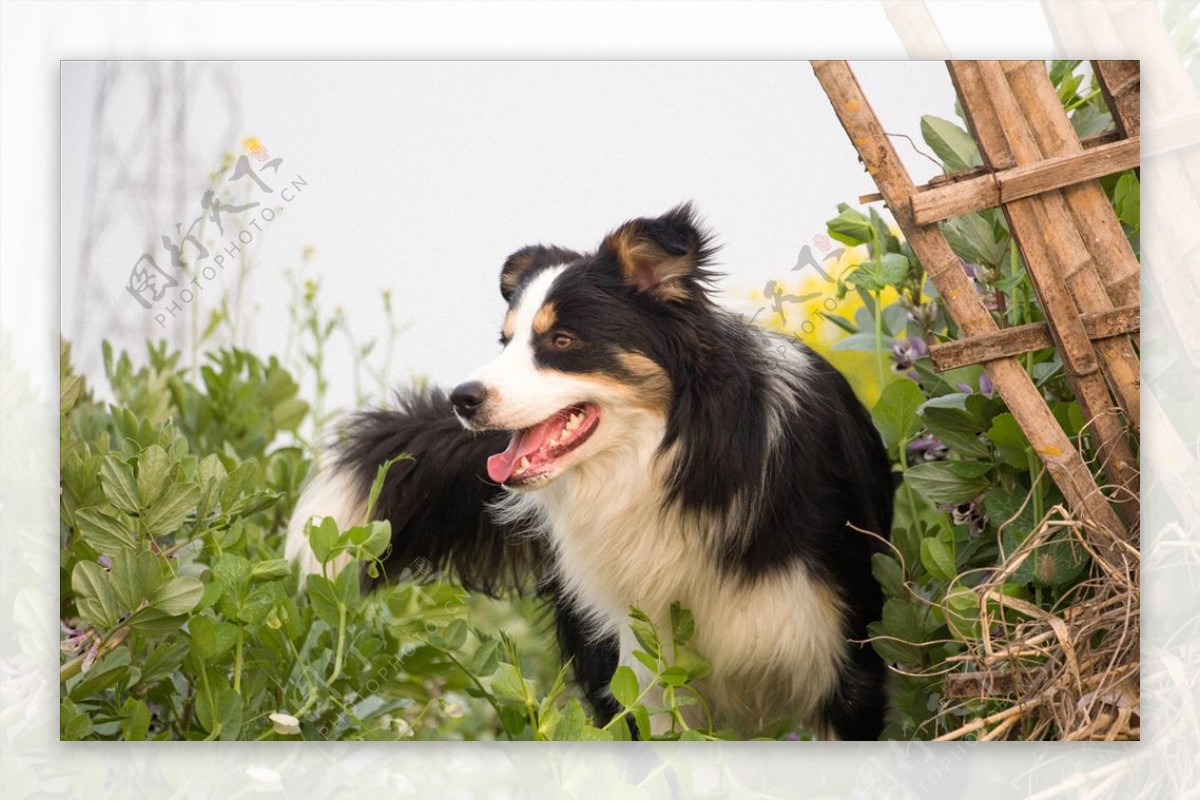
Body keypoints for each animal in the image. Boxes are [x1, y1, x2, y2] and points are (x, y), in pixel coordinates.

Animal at [285, 205, 897, 738]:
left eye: (561, 340)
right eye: (505, 341)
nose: (463, 398)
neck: (675, 463)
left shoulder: (847, 664)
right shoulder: (640, 672)